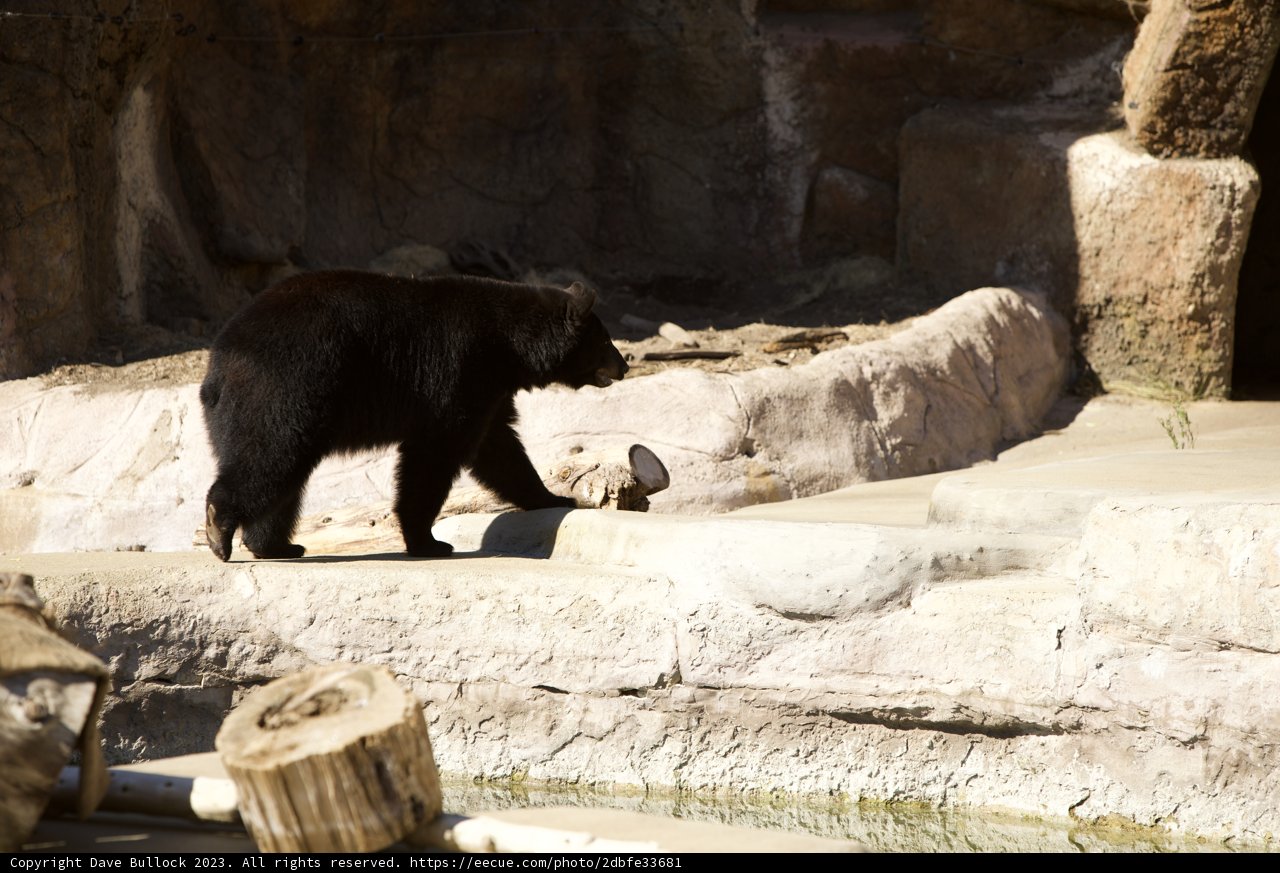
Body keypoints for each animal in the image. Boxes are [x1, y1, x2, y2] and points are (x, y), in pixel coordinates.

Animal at [199, 269, 628, 561]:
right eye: (606, 340)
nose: (624, 366)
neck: (506, 343)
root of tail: (218, 366)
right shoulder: (458, 370)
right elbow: (438, 450)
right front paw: (430, 541)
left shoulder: (487, 387)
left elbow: (498, 447)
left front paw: (553, 496)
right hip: (291, 384)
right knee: (272, 453)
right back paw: (220, 526)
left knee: (282, 471)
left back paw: (274, 545)